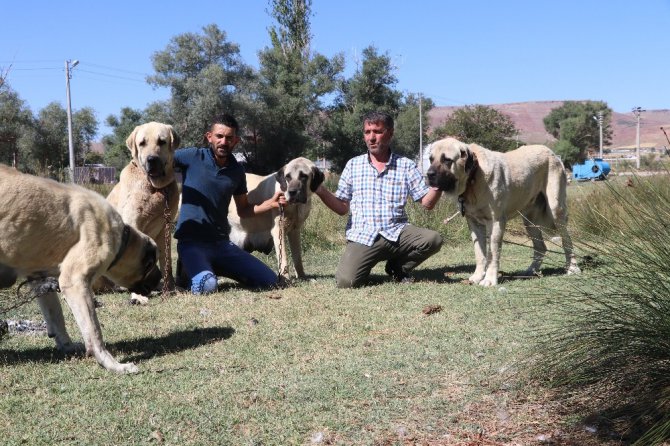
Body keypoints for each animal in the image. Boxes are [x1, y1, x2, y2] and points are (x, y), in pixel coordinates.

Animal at [0, 164, 162, 372]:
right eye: (151, 264)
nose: (160, 278)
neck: (122, 238)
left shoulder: (39, 279)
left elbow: (56, 316)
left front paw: (66, 345)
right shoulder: (75, 282)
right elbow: (94, 331)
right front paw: (111, 363)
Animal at [105, 122, 180, 304]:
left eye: (162, 142)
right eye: (142, 143)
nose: (151, 159)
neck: (155, 188)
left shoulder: (165, 229)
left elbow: (166, 262)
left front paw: (170, 288)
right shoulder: (133, 223)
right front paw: (138, 296)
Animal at [430, 138, 584, 288]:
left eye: (447, 160)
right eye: (431, 159)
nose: (429, 174)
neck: (473, 178)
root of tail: (551, 152)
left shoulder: (496, 222)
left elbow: (493, 253)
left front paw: (489, 279)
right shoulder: (473, 223)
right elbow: (480, 253)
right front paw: (477, 276)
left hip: (556, 210)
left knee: (567, 241)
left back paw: (572, 268)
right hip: (529, 221)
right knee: (541, 247)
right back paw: (531, 270)